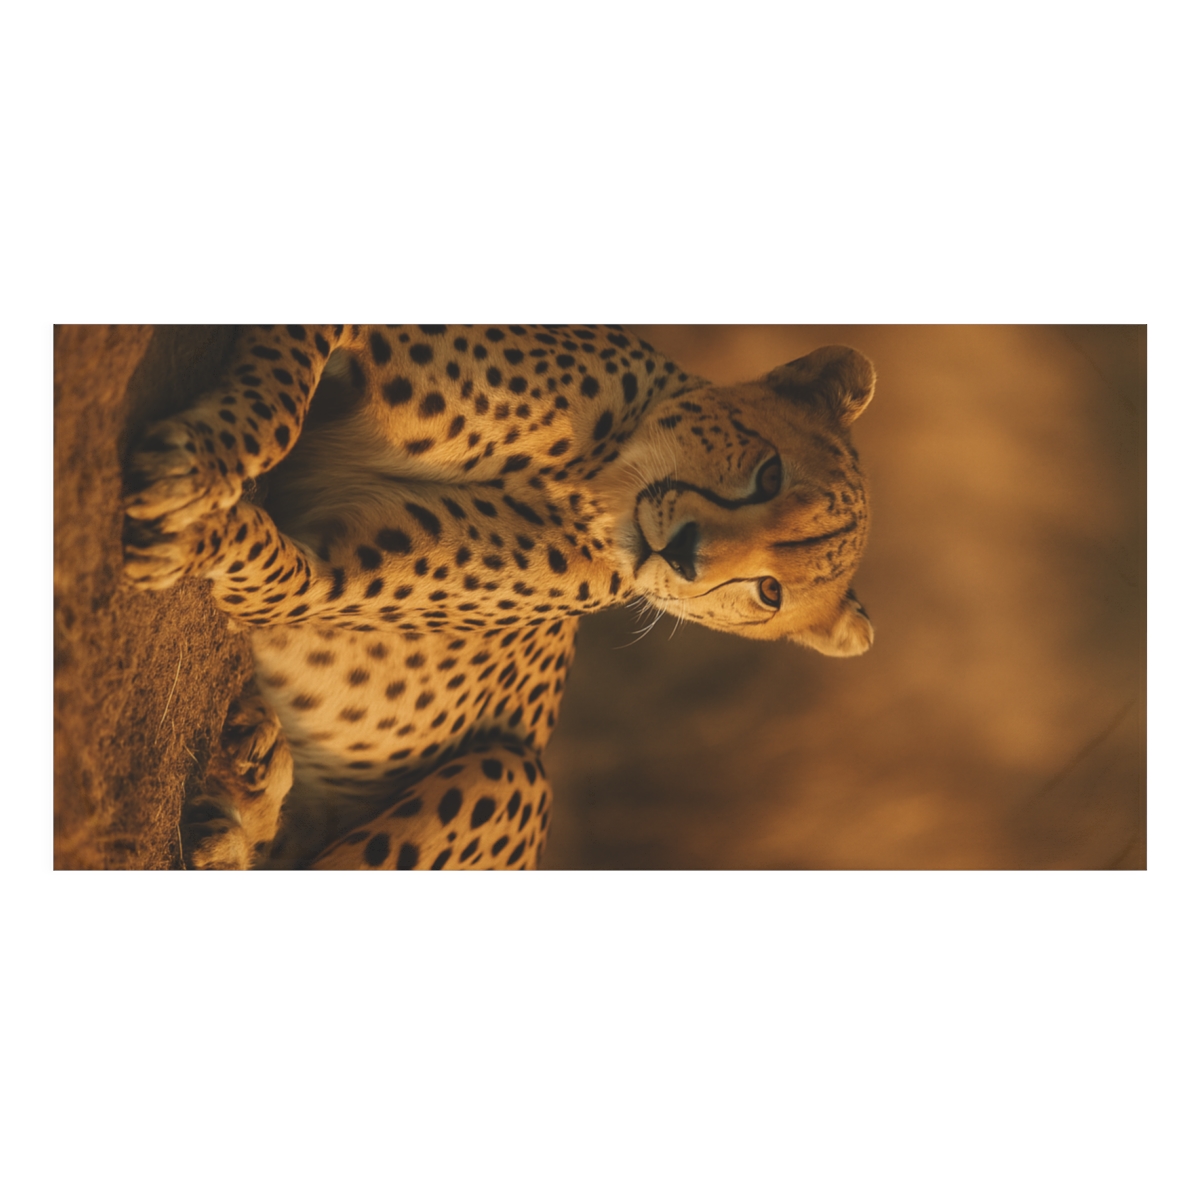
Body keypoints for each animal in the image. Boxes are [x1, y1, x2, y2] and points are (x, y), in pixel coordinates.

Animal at [122, 325, 876, 870]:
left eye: (770, 593)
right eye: (770, 473)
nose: (686, 555)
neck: (599, 480)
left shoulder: (312, 584)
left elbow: (257, 562)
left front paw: (189, 529)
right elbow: (278, 403)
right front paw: (201, 465)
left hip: (515, 774)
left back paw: (241, 807)